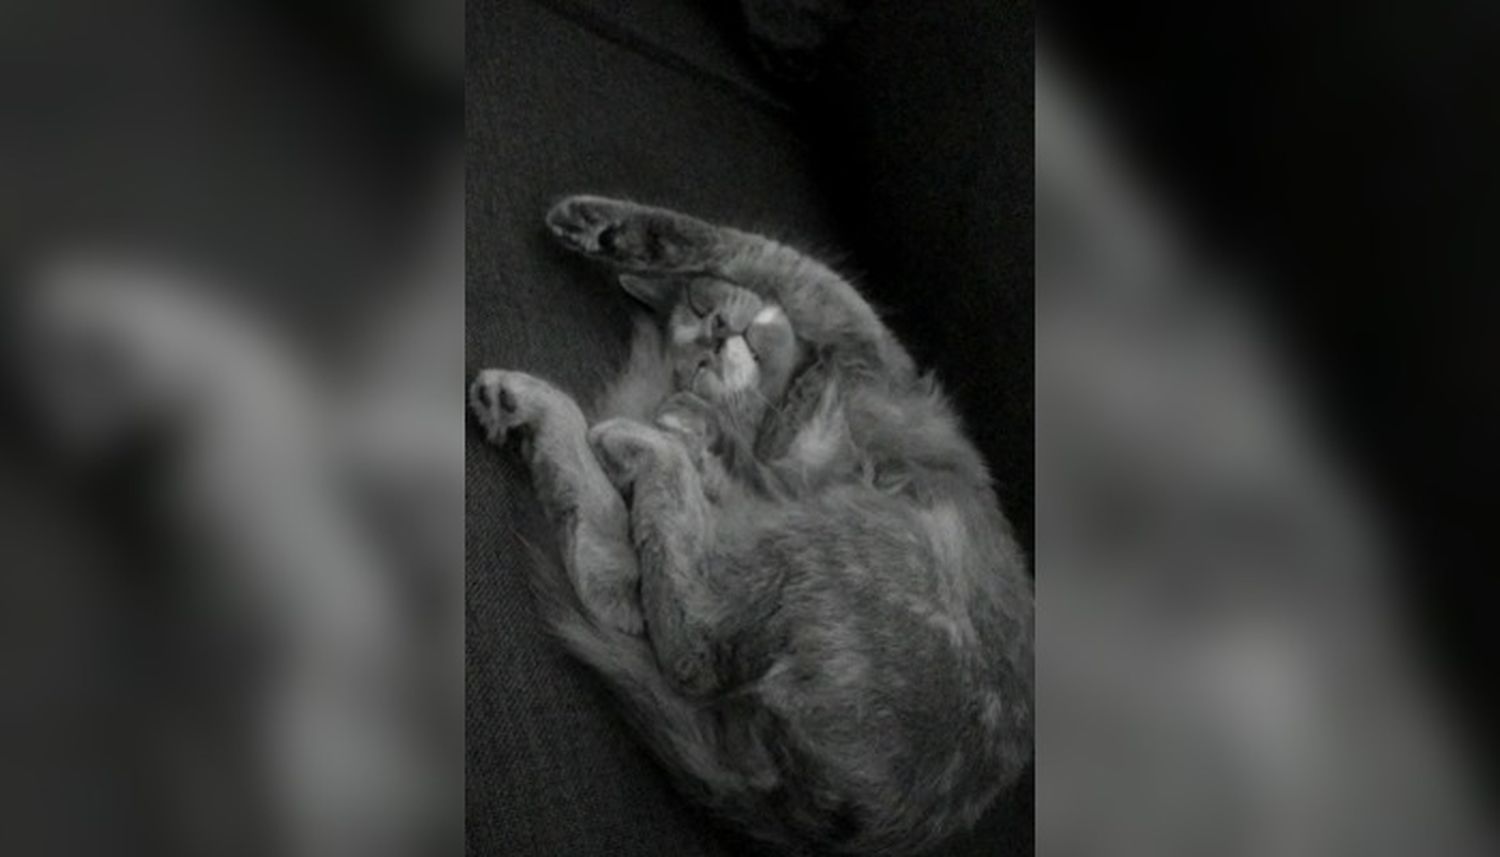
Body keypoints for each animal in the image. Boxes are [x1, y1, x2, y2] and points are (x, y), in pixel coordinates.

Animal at [470, 195, 1033, 855]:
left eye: (699, 305)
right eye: (694, 354)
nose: (716, 331)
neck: (795, 398)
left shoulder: (855, 346)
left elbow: (753, 251)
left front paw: (596, 224)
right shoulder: (785, 451)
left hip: (843, 543)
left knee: (659, 617)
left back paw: (571, 420)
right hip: (830, 546)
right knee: (675, 628)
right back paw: (552, 415)